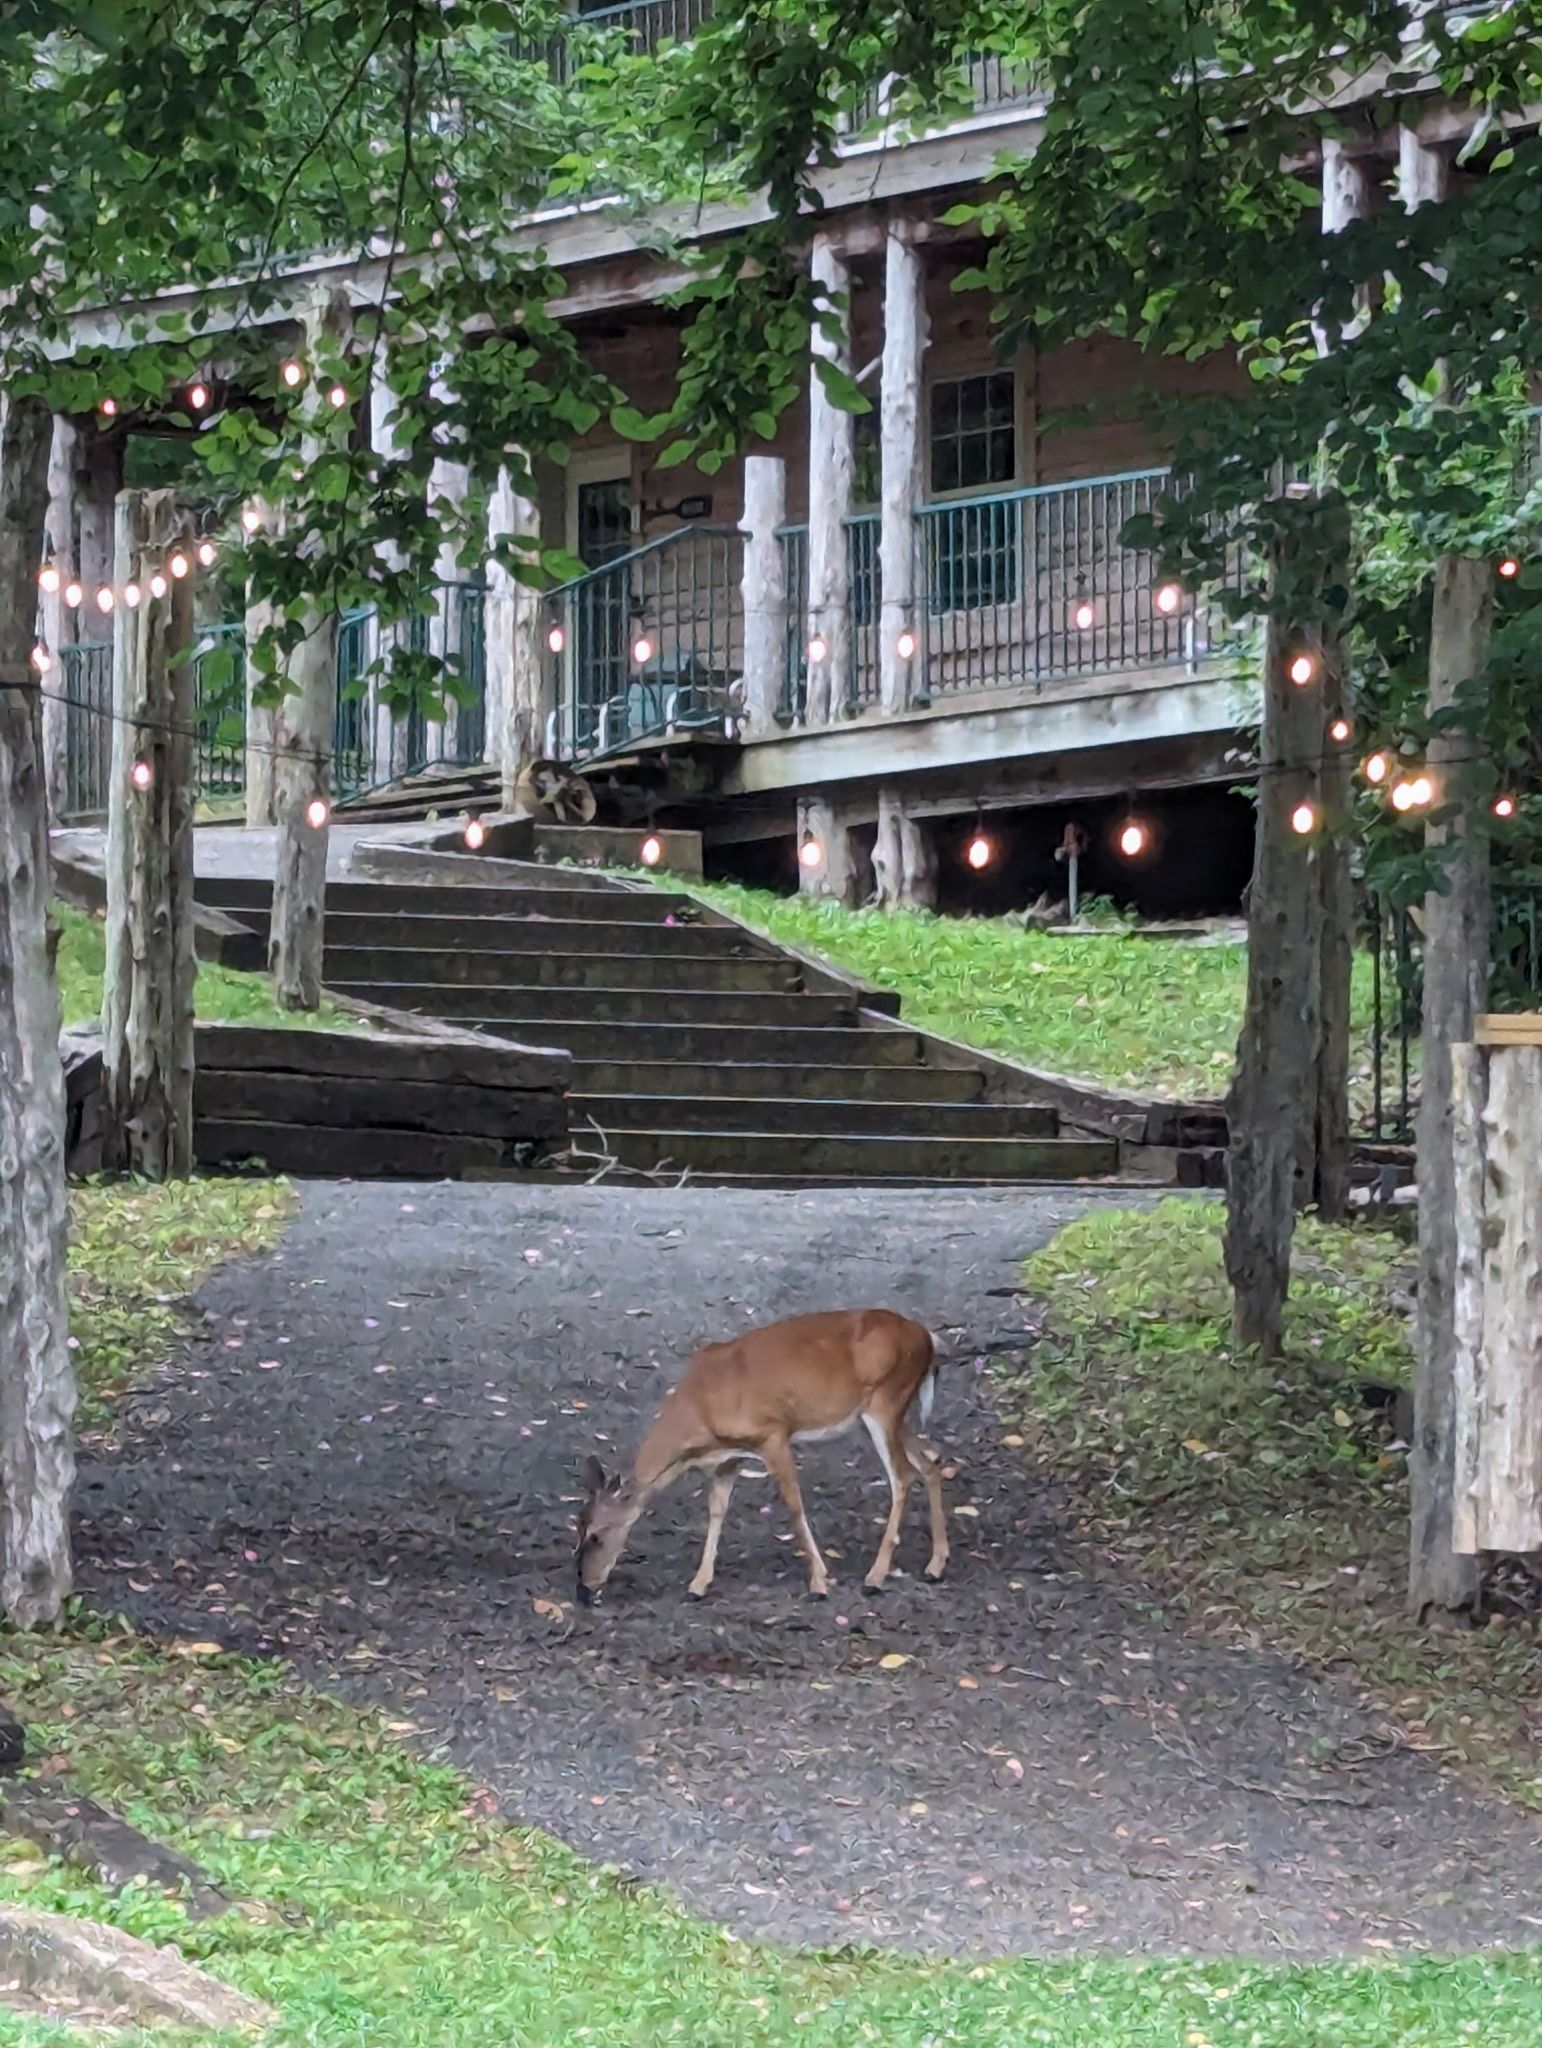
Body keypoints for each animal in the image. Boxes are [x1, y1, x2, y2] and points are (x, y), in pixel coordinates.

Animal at [574, 1308, 949, 1606]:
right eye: (577, 1528)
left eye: (596, 1535)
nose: (583, 1591)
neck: (699, 1413)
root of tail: (928, 1338)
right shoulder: (728, 1457)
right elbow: (716, 1510)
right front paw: (698, 1583)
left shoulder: (773, 1434)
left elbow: (794, 1506)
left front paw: (819, 1581)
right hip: (890, 1413)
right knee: (930, 1459)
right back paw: (935, 1565)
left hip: (886, 1401)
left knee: (903, 1475)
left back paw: (876, 1575)